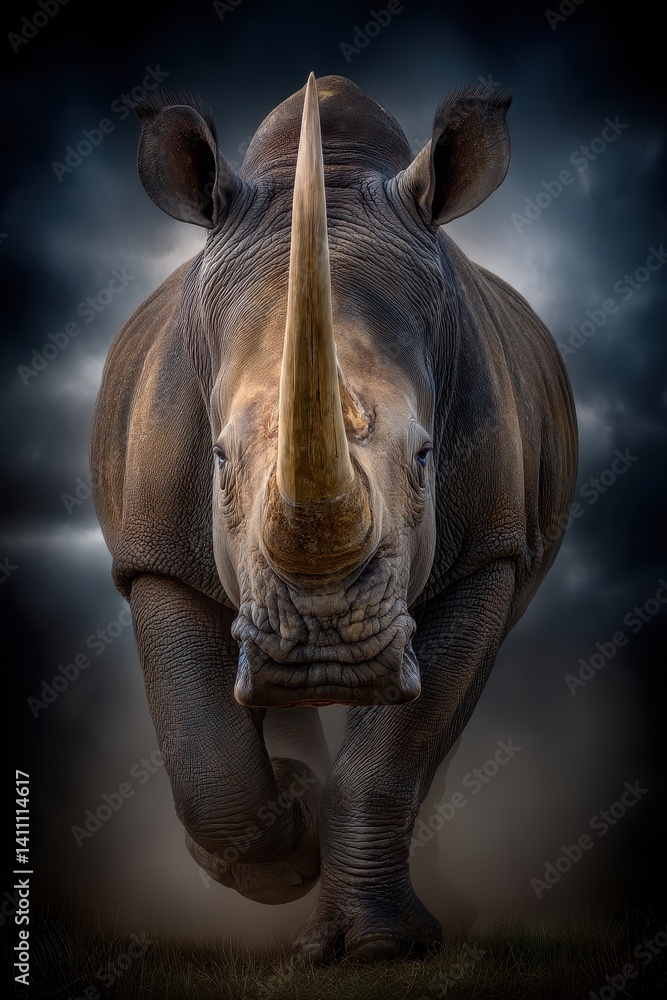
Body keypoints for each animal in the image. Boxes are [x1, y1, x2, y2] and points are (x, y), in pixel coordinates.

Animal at [91, 73, 577, 961]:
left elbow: (393, 756)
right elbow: (205, 755)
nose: (324, 654)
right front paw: (286, 837)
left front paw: (378, 947)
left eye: (425, 457)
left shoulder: (488, 551)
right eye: (217, 459)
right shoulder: (155, 553)